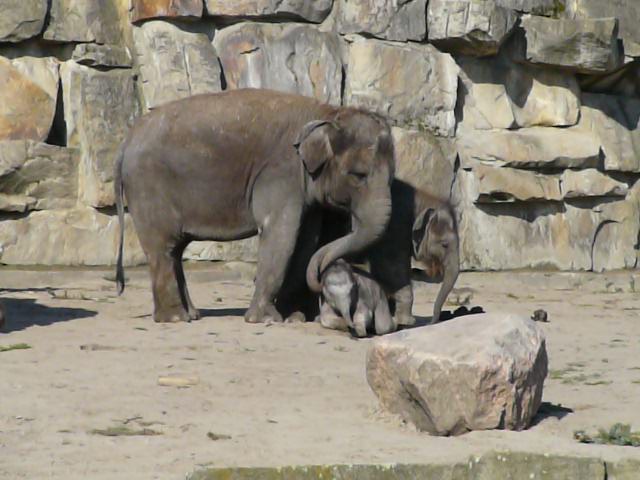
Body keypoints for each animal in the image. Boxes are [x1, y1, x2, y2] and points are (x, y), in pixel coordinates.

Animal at [115, 88, 396, 324]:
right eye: (358, 175)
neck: (326, 113)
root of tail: (127, 139)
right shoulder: (281, 173)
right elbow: (281, 235)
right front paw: (266, 319)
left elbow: (306, 240)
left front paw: (294, 318)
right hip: (148, 185)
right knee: (163, 246)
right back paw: (175, 319)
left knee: (175, 249)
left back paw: (191, 315)